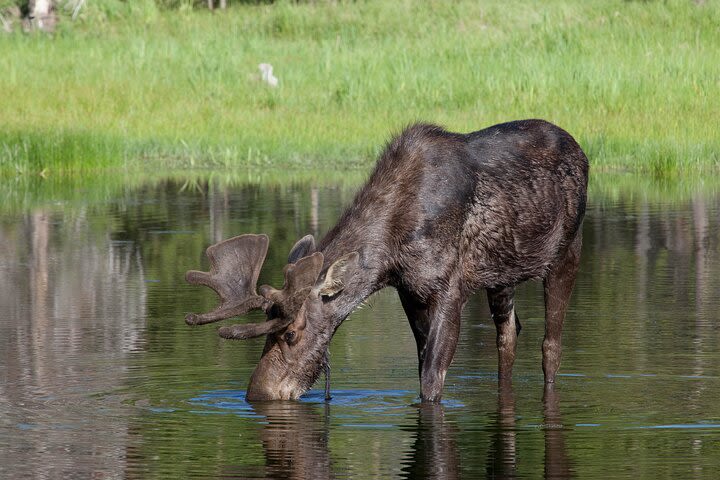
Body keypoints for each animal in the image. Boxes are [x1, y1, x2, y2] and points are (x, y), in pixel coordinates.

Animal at [186, 119, 592, 402]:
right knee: (508, 335)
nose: (259, 394)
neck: (390, 254)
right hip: (502, 275)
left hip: (567, 249)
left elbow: (431, 379)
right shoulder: (410, 292)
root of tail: (583, 152)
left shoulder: (451, 288)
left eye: (290, 334)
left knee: (550, 345)